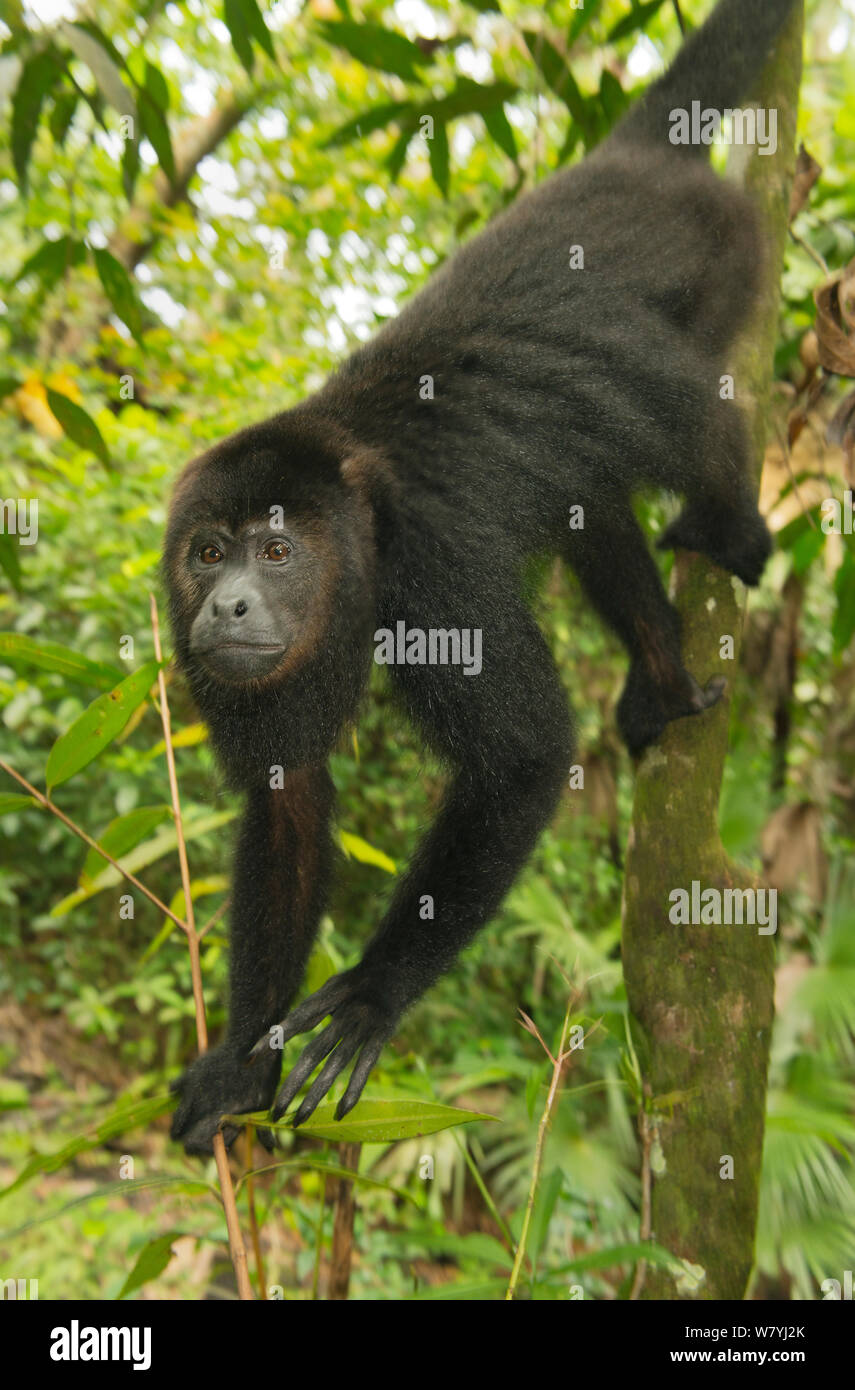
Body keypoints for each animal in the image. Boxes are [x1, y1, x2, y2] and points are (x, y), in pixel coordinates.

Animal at [164, 0, 800, 1150]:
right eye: (206, 552)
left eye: (276, 551)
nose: (228, 603)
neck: (356, 540)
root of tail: (625, 160)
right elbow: (289, 800)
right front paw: (240, 1060)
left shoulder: (433, 574)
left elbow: (524, 757)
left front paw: (370, 996)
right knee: (598, 504)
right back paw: (664, 676)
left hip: (726, 252)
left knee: (694, 413)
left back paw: (729, 527)